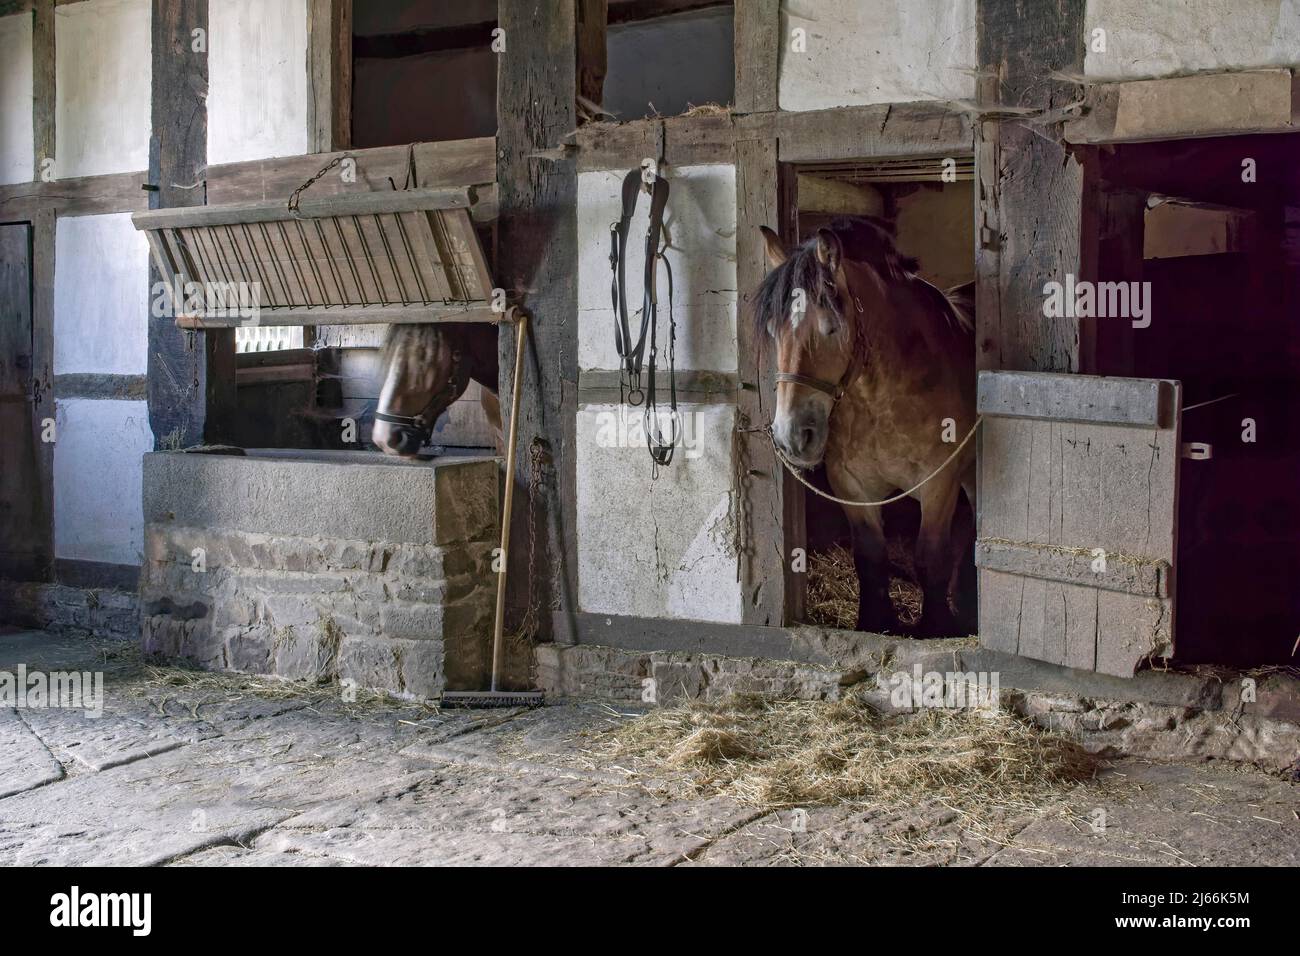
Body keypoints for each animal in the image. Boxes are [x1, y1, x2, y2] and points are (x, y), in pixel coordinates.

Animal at [754, 217, 977, 634]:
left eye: (829, 328)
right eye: (775, 332)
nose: (792, 437)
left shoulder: (939, 482)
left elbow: (930, 557)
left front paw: (936, 627)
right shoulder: (852, 486)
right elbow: (871, 559)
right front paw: (874, 622)